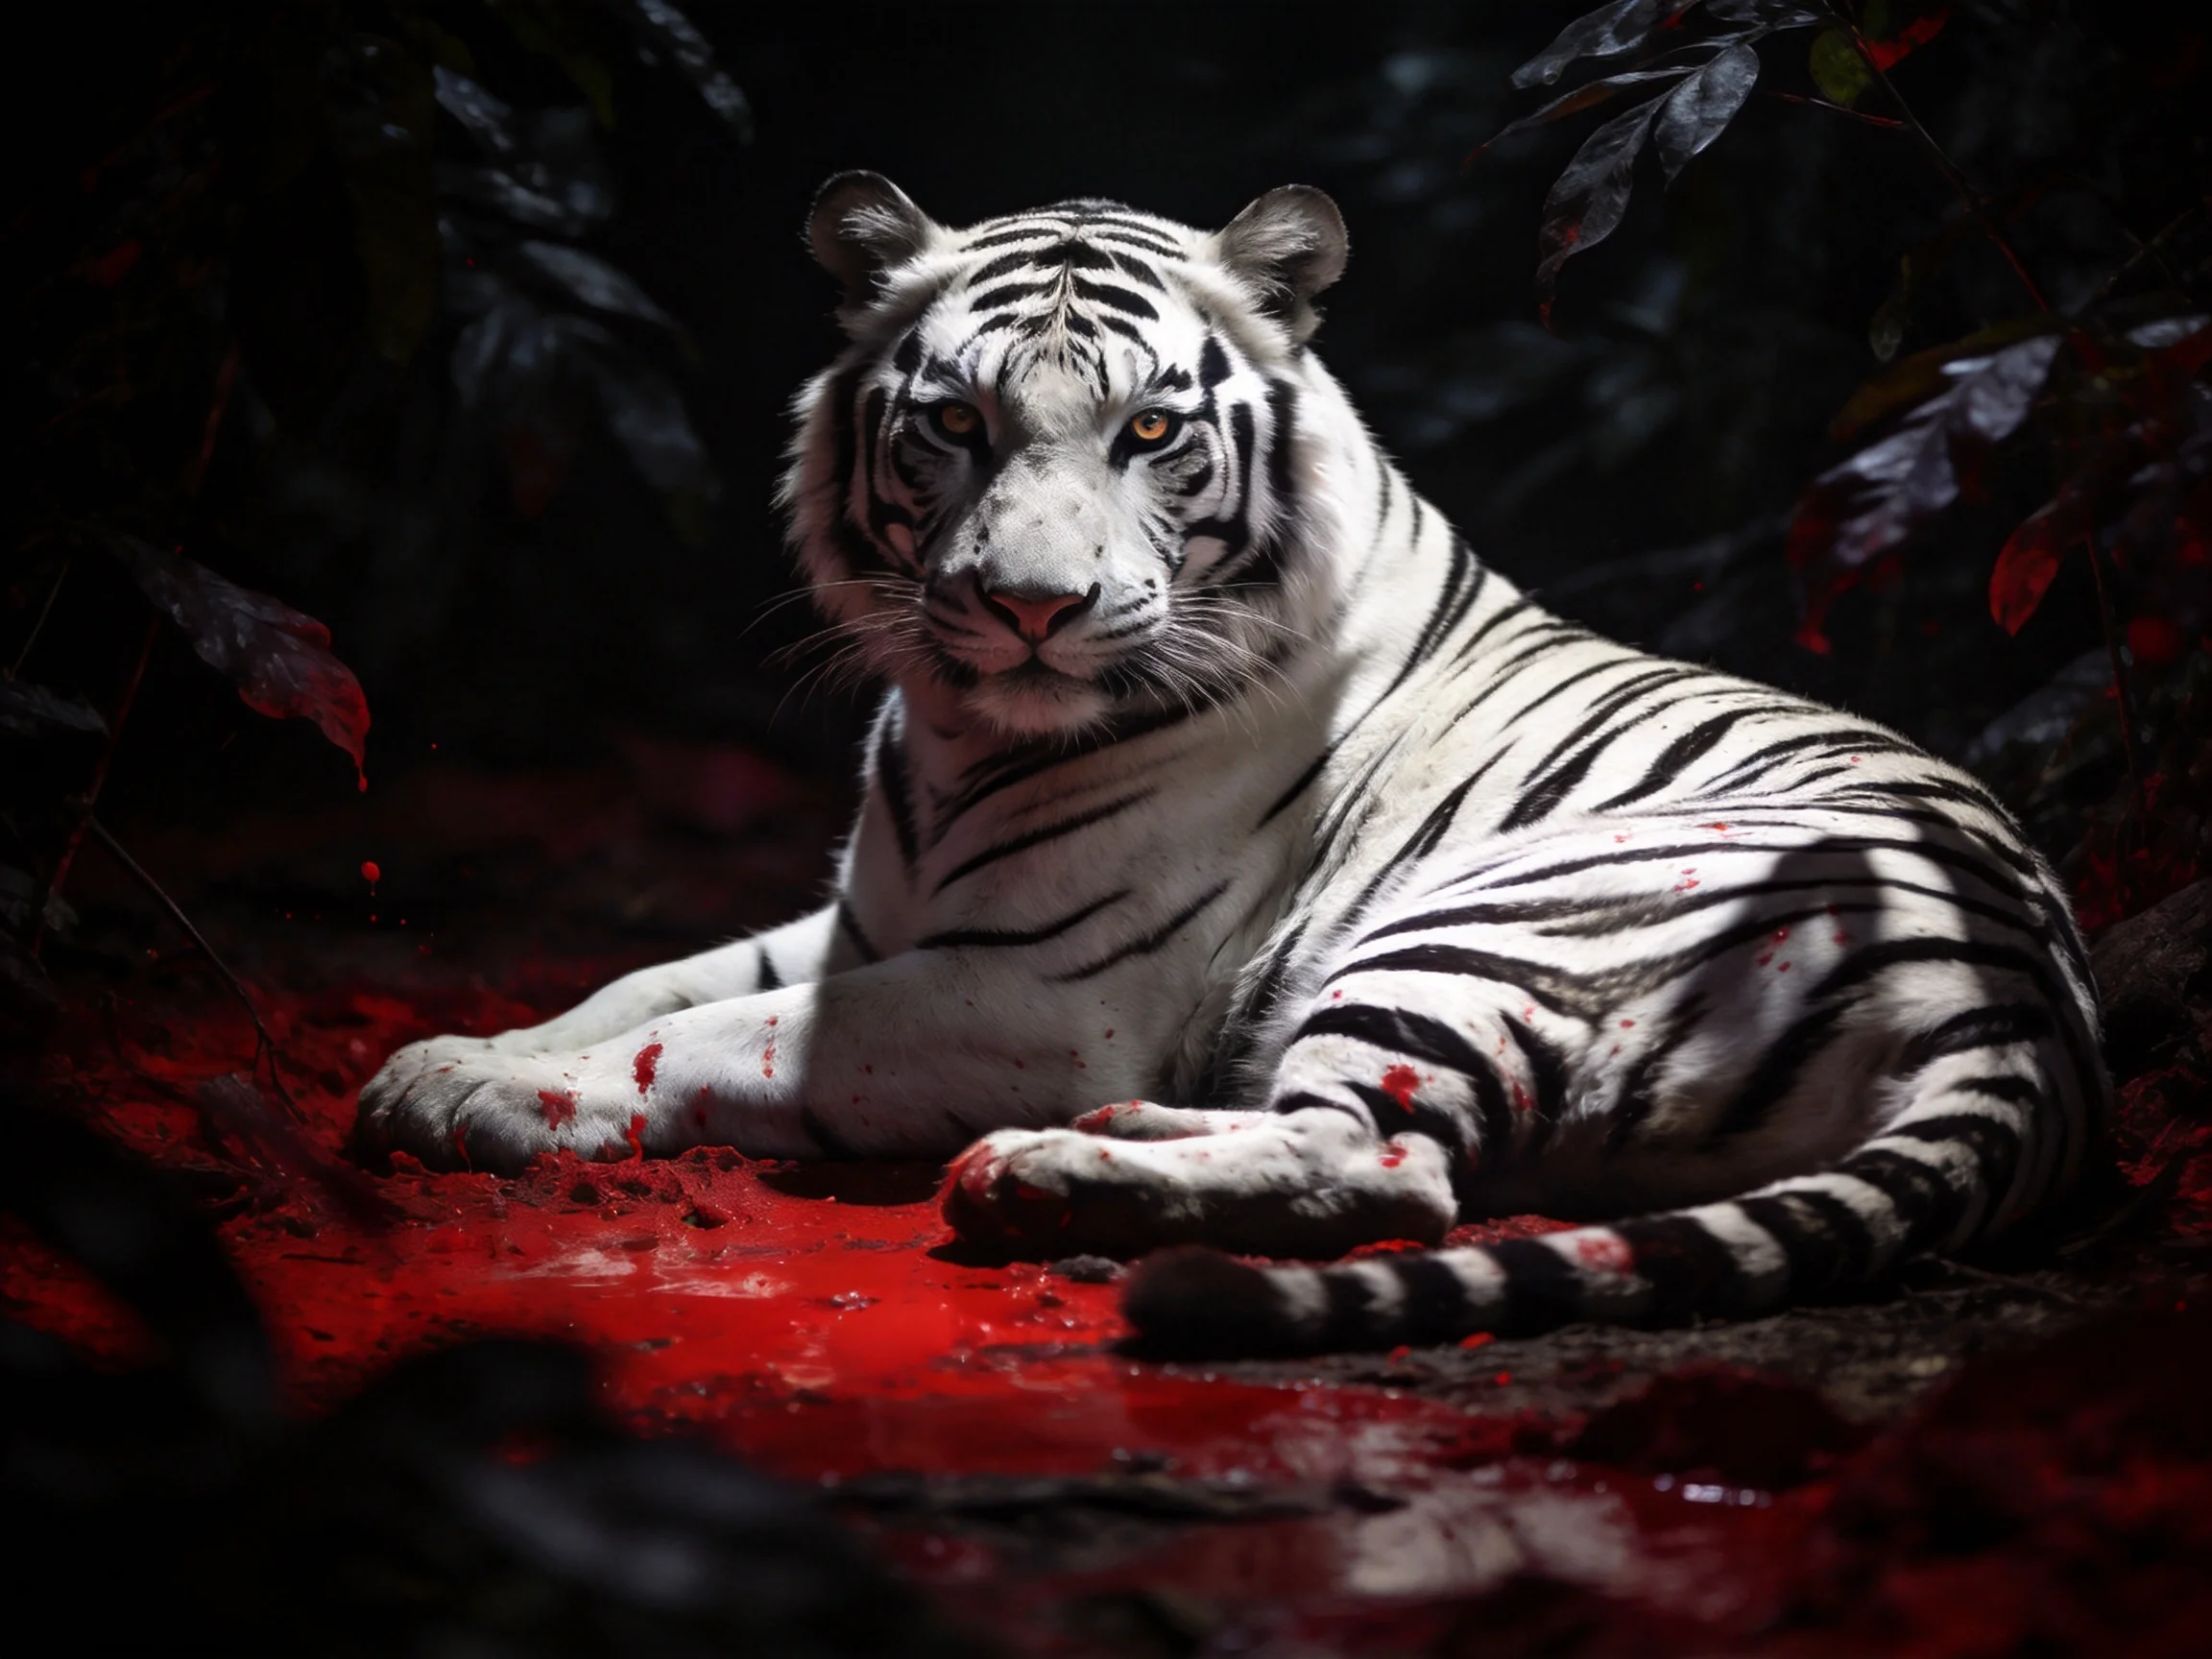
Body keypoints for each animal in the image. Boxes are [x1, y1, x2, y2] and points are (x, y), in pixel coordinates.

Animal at [357, 173, 2106, 1357]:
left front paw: (498, 1097)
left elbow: (719, 1030)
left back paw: (1041, 1179)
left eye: (1146, 433)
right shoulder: (873, 917)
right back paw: (1126, 1135)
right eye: (953, 423)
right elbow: (644, 980)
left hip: (1485, 922)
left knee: (1391, 1166)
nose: (1032, 607)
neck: (958, 726)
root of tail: (2026, 1020)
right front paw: (446, 1059)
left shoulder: (1038, 993)